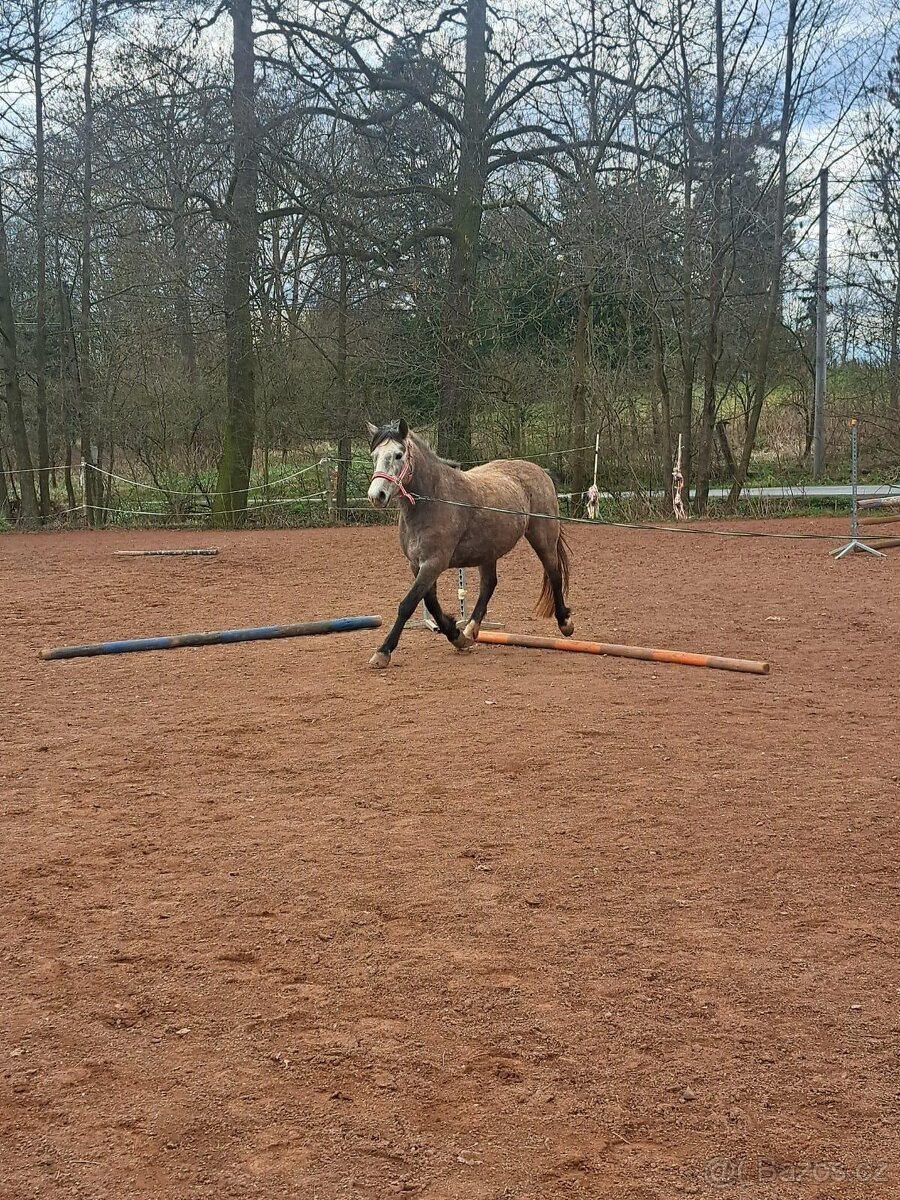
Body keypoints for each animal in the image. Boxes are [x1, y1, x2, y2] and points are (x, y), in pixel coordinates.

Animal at [365, 419, 574, 669]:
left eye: (398, 455)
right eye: (374, 455)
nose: (376, 495)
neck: (435, 500)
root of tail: (539, 471)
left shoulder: (434, 563)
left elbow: (408, 604)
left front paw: (383, 652)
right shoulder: (418, 565)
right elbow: (430, 602)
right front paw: (457, 636)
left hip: (543, 537)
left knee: (554, 573)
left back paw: (565, 623)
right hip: (489, 550)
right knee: (489, 584)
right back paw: (471, 629)